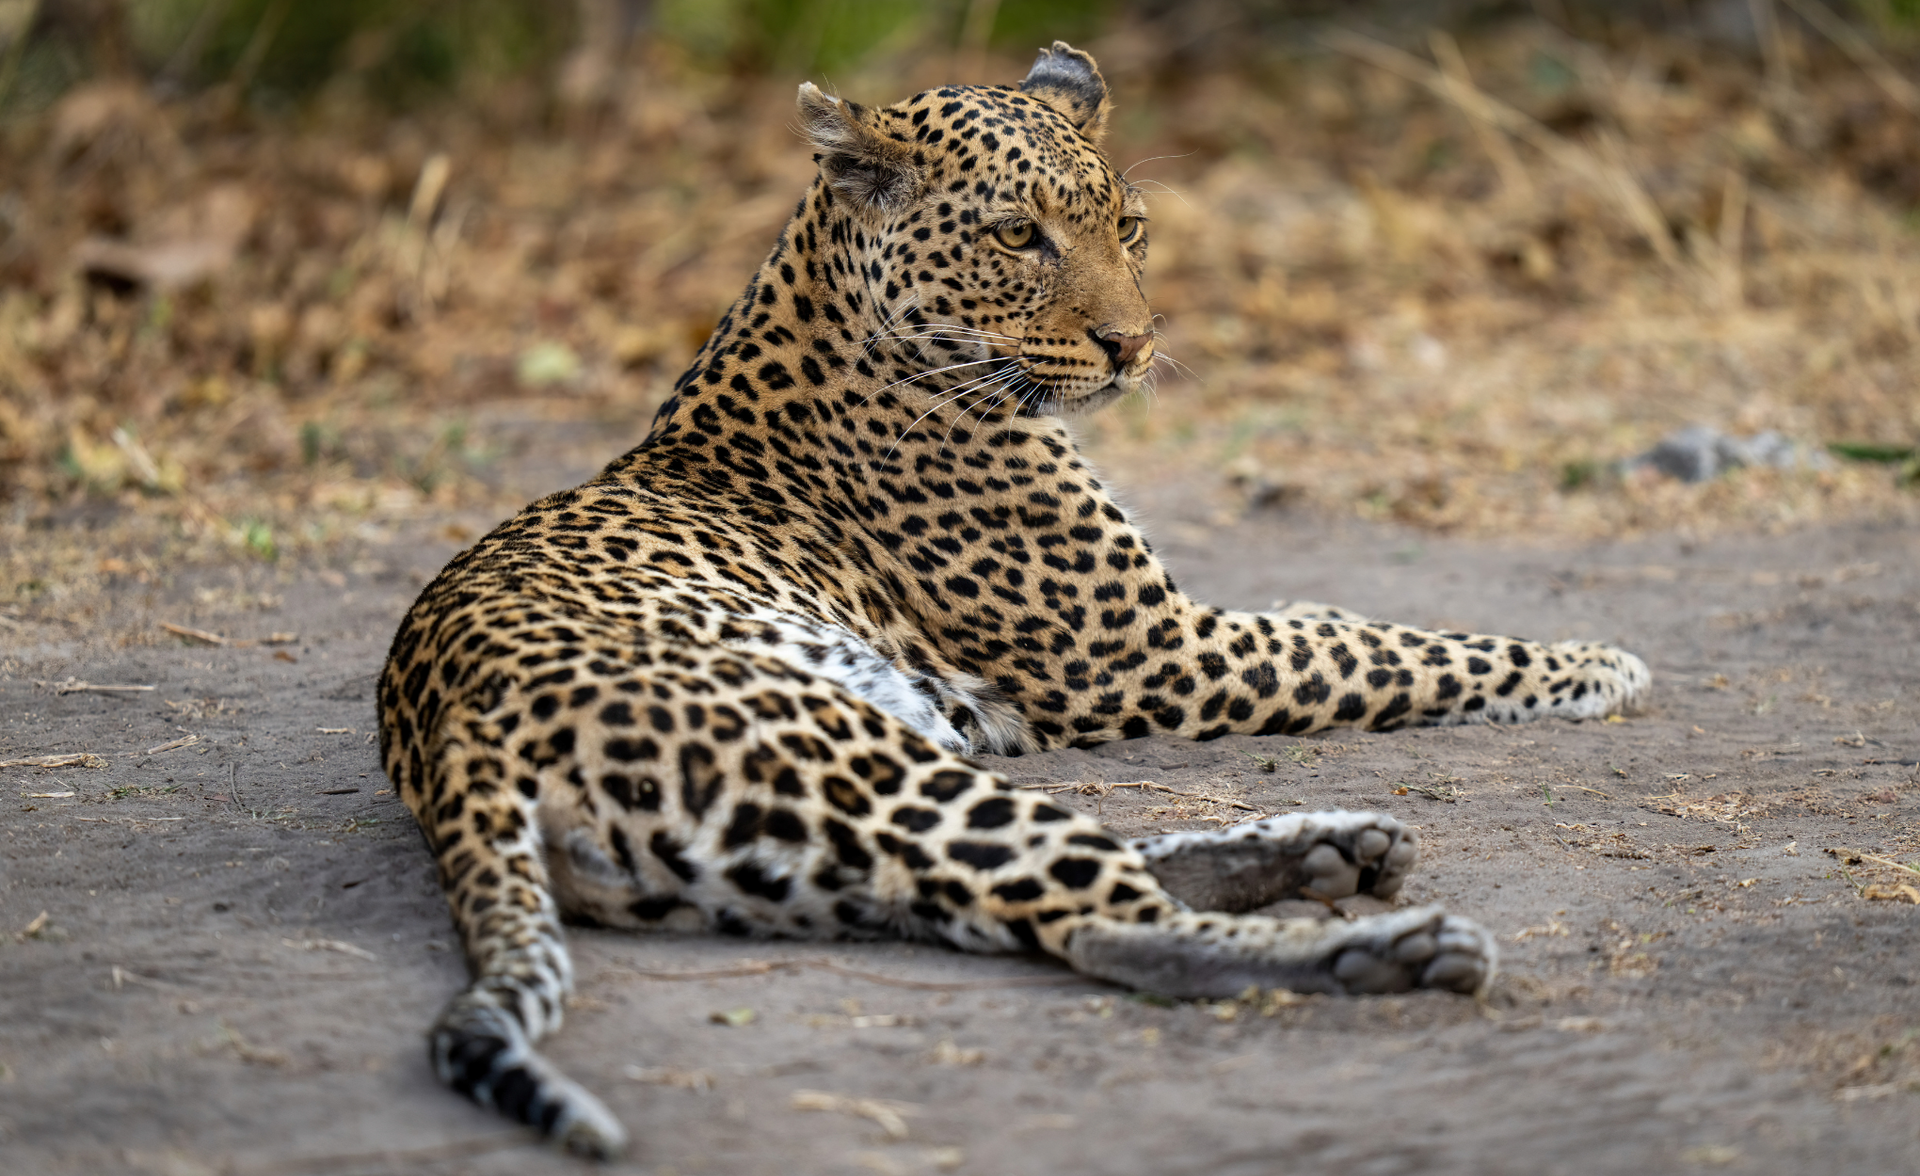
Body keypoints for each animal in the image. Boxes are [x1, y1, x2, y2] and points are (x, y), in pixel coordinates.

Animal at [378, 43, 1650, 1158]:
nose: (1134, 345)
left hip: (816, 831)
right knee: (1105, 923)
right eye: (1015, 236)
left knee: (1047, 885)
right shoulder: (1153, 654)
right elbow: (1399, 650)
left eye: (1127, 227)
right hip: (847, 758)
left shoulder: (1173, 631)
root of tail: (453, 745)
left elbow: (1338, 623)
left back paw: (1337, 848)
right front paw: (1593, 663)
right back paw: (1392, 947)